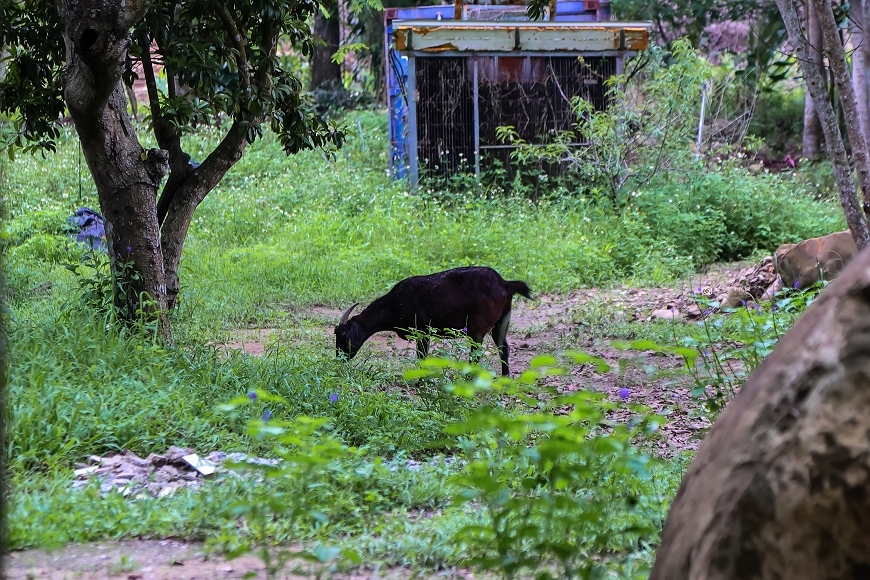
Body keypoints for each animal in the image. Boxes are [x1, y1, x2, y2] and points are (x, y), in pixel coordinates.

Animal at [338, 266, 536, 376]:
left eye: (344, 335)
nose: (340, 359)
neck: (394, 303)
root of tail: (505, 284)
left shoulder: (422, 331)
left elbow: (422, 357)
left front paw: (422, 380)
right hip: (502, 321)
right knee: (504, 348)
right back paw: (505, 378)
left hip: (477, 326)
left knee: (476, 353)